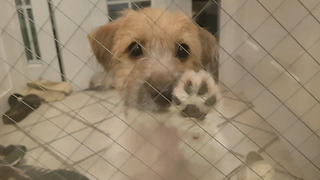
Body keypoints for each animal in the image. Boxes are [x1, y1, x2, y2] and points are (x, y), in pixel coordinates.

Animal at [89, 7, 221, 179]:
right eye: (135, 48)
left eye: (183, 50)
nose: (163, 93)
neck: (156, 131)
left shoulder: (205, 170)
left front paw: (195, 106)